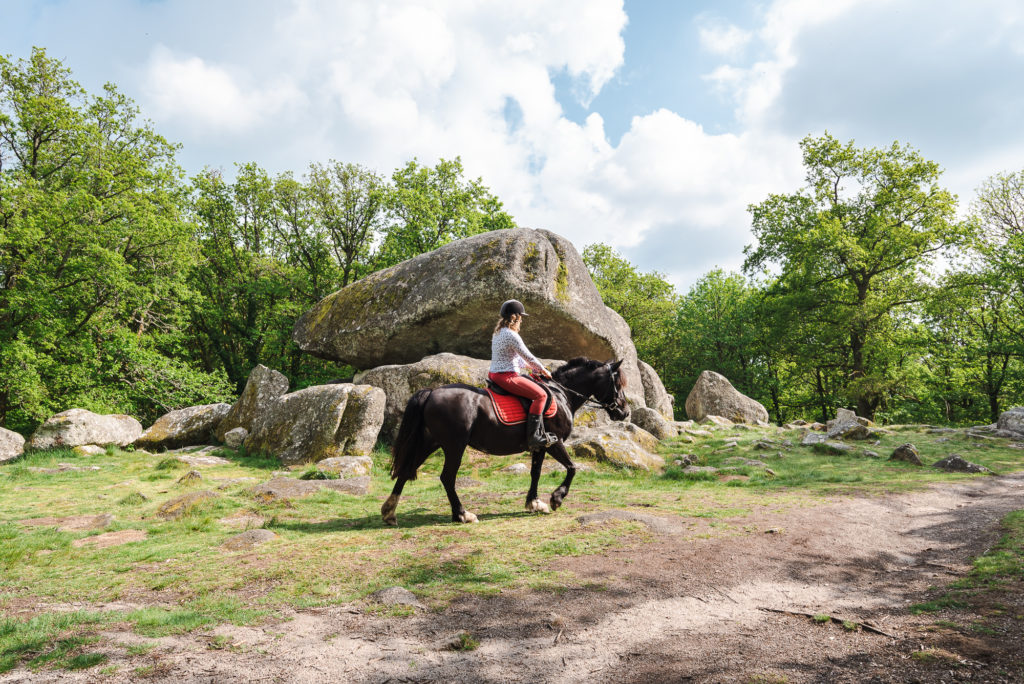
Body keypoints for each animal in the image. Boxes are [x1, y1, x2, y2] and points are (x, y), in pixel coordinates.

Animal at [380, 356, 626, 528]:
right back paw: (462, 514)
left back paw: (389, 513)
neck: (561, 394)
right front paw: (557, 498)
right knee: (447, 478)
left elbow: (535, 472)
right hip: (454, 446)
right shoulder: (554, 442)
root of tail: (431, 392)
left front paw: (534, 502)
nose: (624, 412)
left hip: (430, 443)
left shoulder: (540, 445)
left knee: (406, 470)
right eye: (618, 383)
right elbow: (572, 468)